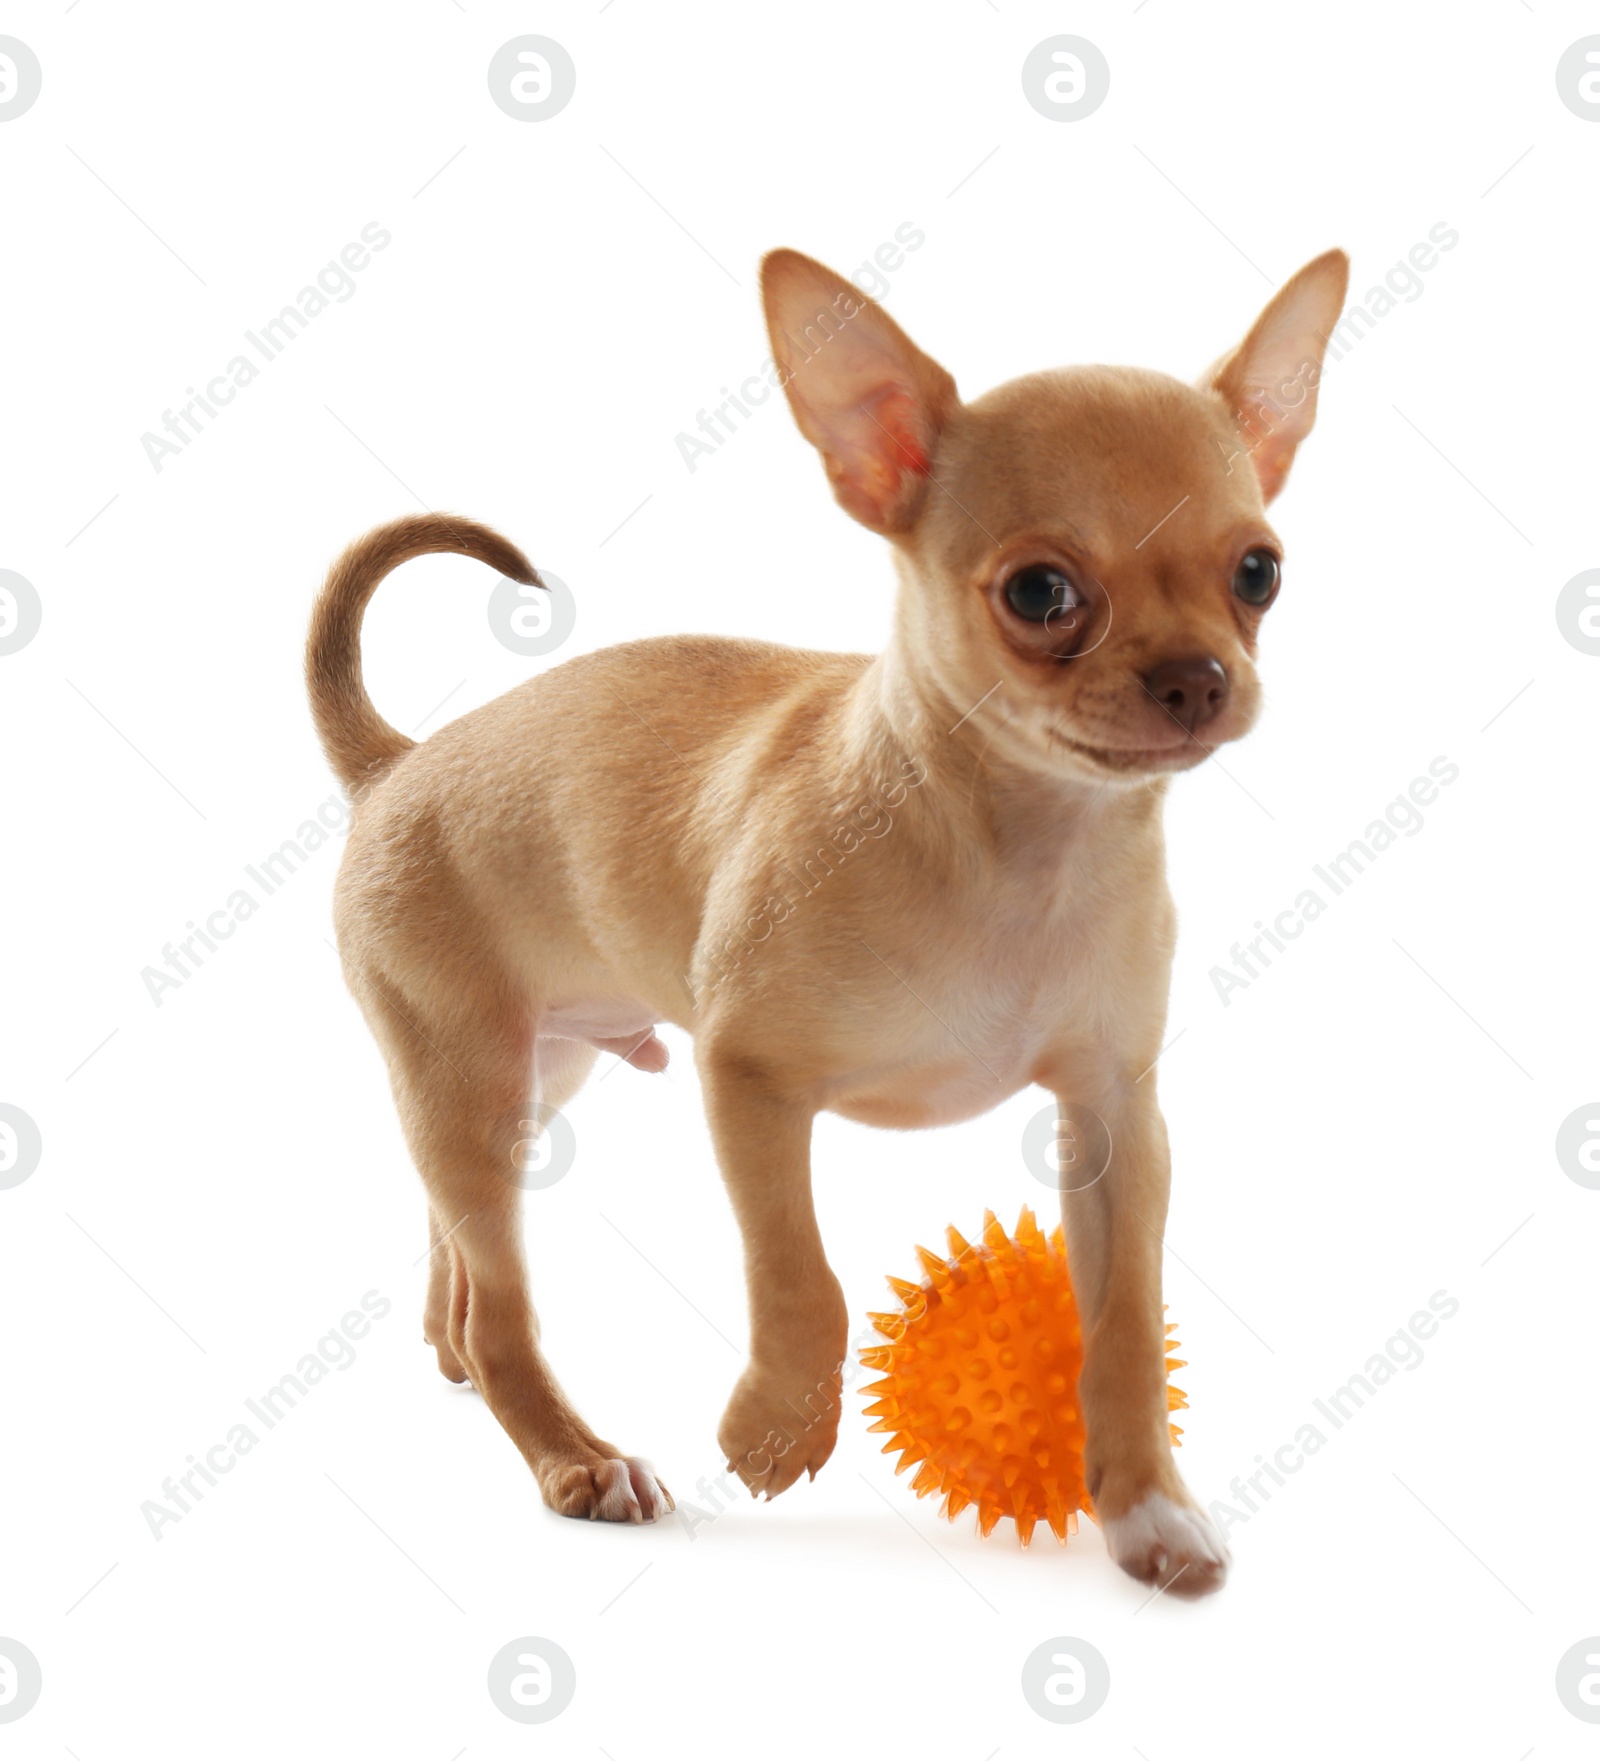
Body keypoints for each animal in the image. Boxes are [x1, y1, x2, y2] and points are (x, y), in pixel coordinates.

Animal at [306, 244, 1344, 1598]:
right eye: (1042, 593)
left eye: (1257, 573)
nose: (1198, 679)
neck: (1021, 854)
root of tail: (396, 763)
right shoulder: (749, 1079)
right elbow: (799, 1272)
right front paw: (778, 1426)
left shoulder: (1118, 1119)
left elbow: (1121, 1321)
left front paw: (1150, 1510)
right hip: (471, 1082)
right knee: (504, 1306)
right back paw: (575, 1457)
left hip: (540, 1070)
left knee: (463, 1269)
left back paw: (454, 1347)